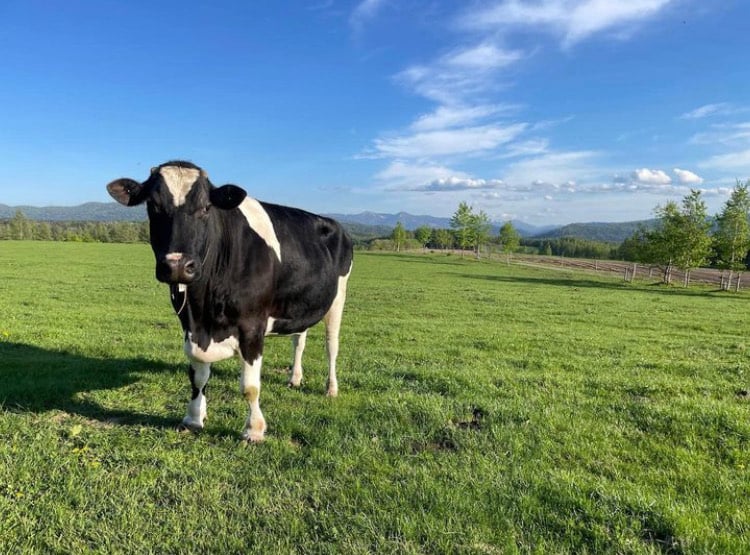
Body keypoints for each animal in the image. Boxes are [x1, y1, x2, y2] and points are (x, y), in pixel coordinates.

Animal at [106, 161, 356, 444]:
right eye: (153, 205)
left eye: (206, 207)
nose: (178, 265)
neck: (203, 307)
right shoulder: (190, 325)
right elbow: (198, 376)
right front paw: (194, 417)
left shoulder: (252, 325)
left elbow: (250, 386)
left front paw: (254, 430)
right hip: (299, 303)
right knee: (299, 340)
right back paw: (294, 378)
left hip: (338, 297)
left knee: (331, 346)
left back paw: (331, 388)